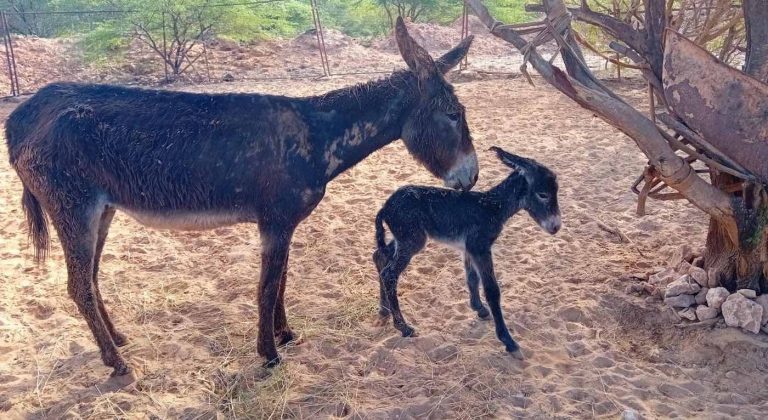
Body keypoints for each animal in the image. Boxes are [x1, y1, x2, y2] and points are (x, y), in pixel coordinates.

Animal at [372, 147, 560, 358]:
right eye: (543, 194)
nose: (555, 227)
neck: (491, 207)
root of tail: (385, 207)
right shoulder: (480, 247)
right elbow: (492, 290)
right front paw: (509, 342)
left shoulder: (469, 248)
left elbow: (471, 278)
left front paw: (479, 309)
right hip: (411, 240)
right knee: (389, 274)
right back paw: (404, 328)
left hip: (404, 238)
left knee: (380, 257)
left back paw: (384, 311)